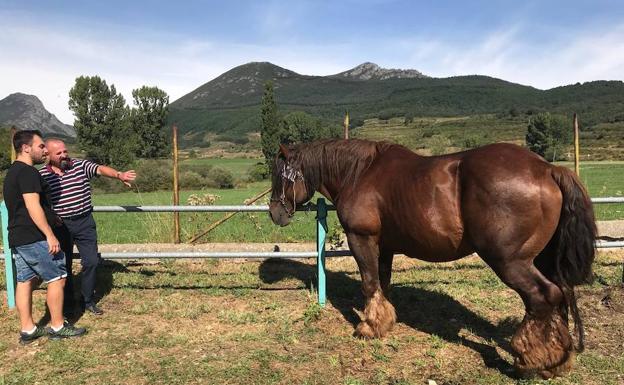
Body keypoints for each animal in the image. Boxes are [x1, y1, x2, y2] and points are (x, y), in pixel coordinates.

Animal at [266, 139, 596, 378]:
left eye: (280, 176)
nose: (274, 213)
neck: (360, 173)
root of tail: (547, 169)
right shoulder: (385, 247)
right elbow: (383, 284)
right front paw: (384, 321)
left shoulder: (362, 239)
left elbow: (369, 283)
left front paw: (367, 328)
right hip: (542, 260)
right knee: (561, 296)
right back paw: (558, 358)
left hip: (510, 262)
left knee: (543, 297)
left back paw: (531, 359)